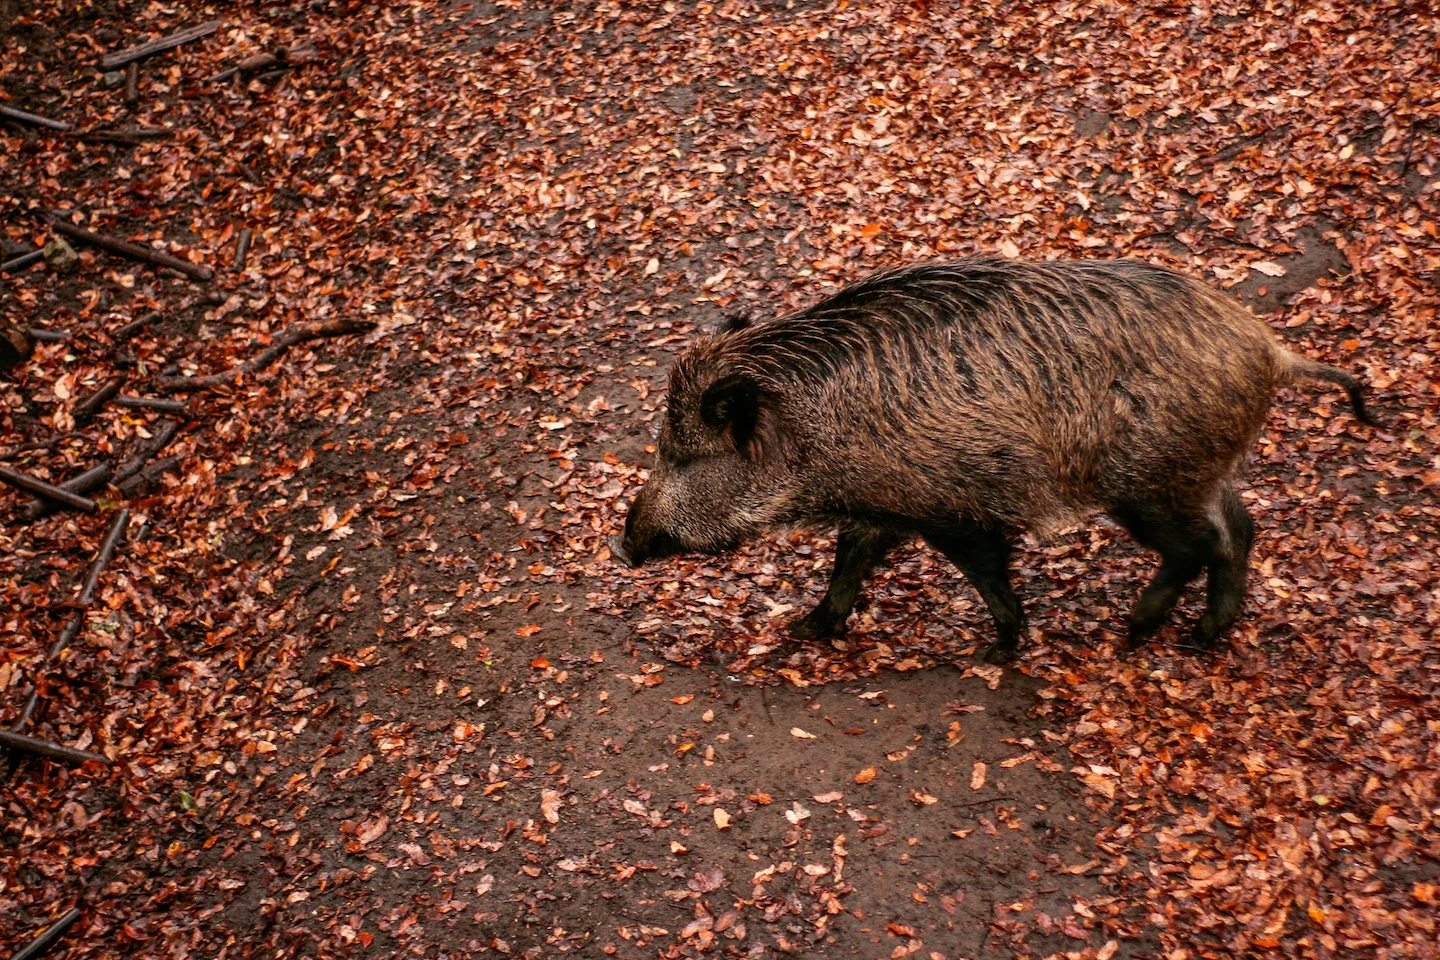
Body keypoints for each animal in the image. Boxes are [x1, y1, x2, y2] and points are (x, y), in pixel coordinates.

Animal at [613, 257, 1378, 662]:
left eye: (683, 455)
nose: (623, 546)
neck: (810, 433)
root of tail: (1269, 349)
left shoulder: (953, 508)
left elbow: (985, 575)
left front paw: (998, 650)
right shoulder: (886, 502)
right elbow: (849, 559)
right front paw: (806, 628)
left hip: (1146, 484)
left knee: (1197, 546)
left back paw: (1136, 631)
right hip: (1199, 471)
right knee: (1240, 528)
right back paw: (1203, 637)